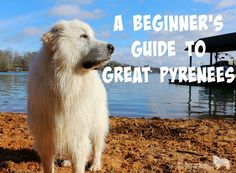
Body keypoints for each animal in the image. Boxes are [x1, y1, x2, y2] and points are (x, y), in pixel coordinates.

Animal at [27, 19, 114, 172]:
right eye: (84, 36)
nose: (112, 47)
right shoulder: (45, 138)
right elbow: (48, 166)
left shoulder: (78, 134)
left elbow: (79, 163)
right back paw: (67, 161)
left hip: (97, 123)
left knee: (97, 146)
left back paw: (95, 165)